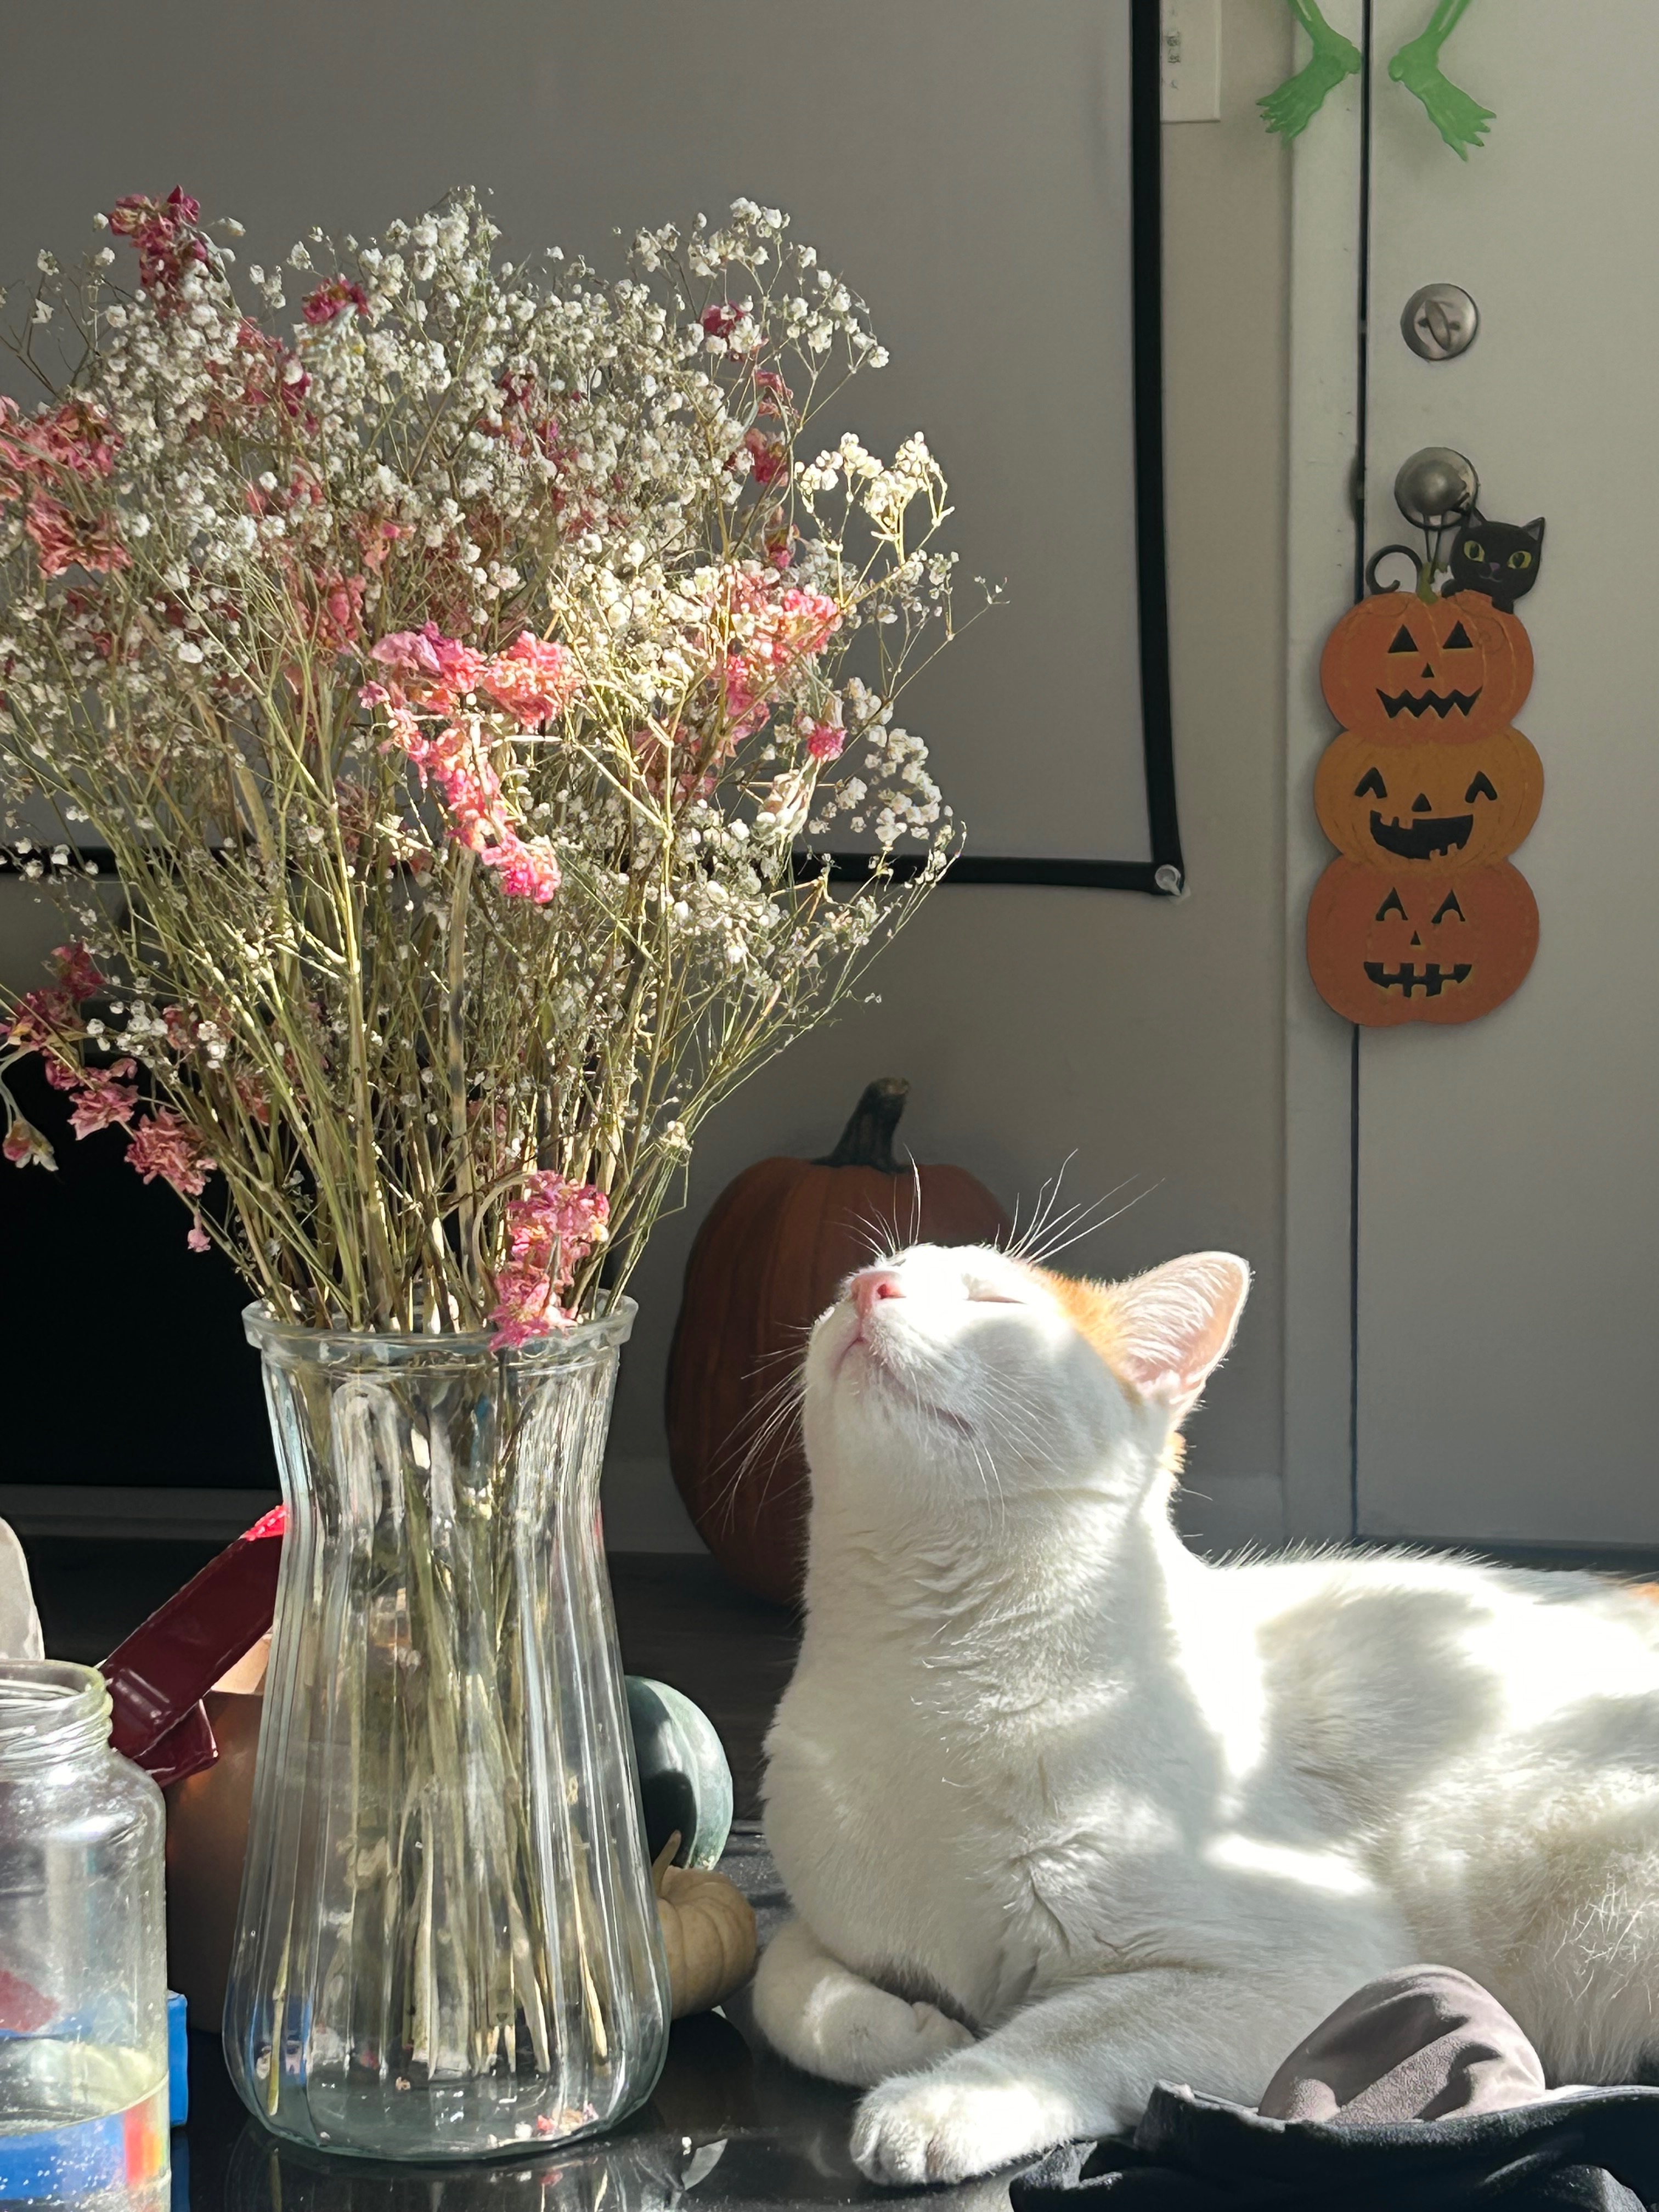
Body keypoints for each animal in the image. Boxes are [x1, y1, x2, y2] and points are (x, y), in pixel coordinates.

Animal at [753, 1241, 1659, 2186]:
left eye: (995, 1302)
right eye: (854, 1279)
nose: (868, 1289)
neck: (920, 1680)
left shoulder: (1307, 1971)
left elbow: (1061, 2031)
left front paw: (938, 2096)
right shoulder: (818, 1919)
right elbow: (783, 1990)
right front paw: (912, 2030)